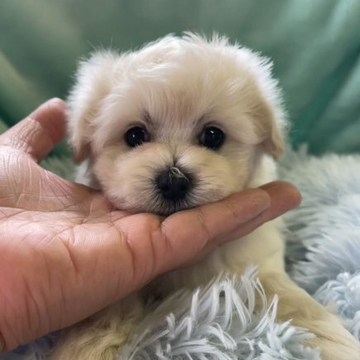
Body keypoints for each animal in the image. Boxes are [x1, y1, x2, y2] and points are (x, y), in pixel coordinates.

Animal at [50, 34, 358, 360]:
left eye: (213, 135)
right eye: (134, 135)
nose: (173, 181)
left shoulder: (254, 263)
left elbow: (294, 302)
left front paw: (338, 344)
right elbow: (107, 309)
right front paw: (83, 347)